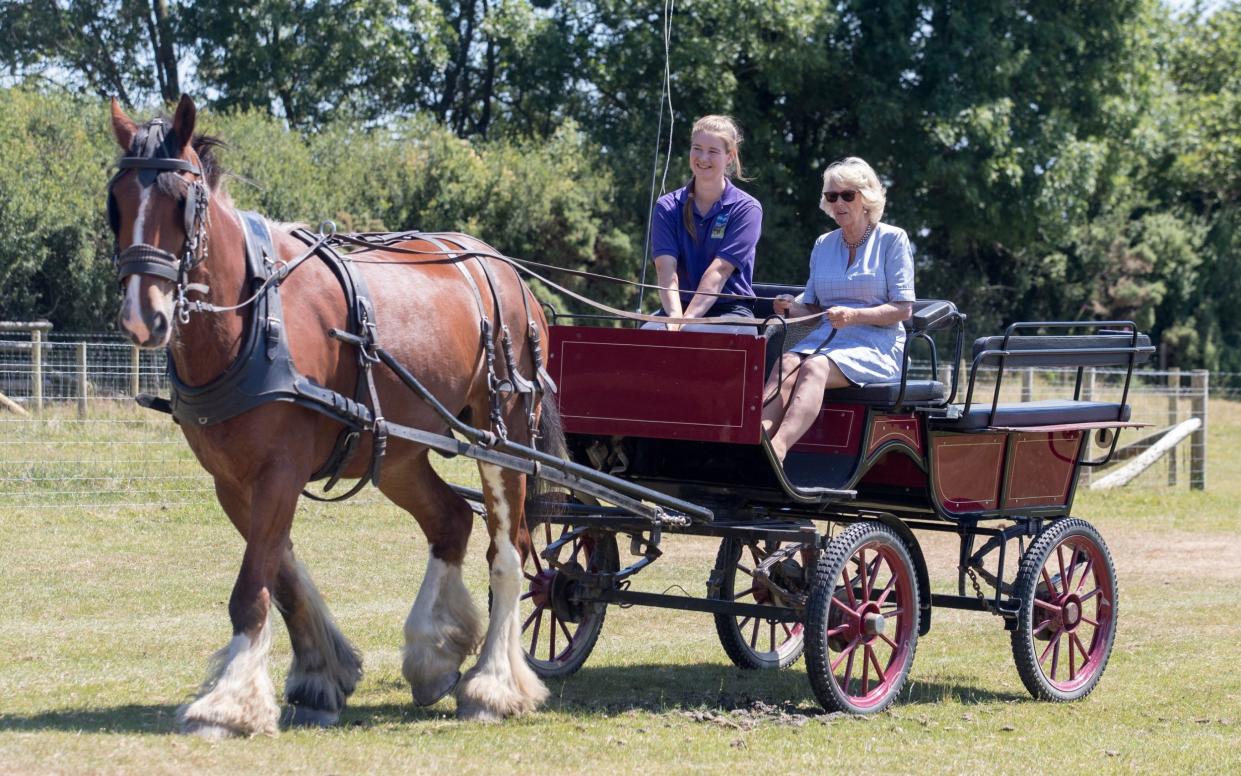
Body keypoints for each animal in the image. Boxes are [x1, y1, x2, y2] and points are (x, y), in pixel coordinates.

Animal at [106, 95, 553, 730]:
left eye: (181, 202)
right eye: (116, 204)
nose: (143, 316)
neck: (254, 320)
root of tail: (508, 273)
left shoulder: (281, 469)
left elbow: (253, 585)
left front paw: (226, 704)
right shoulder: (232, 481)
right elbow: (280, 576)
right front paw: (322, 674)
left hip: (503, 434)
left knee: (508, 552)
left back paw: (493, 685)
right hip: (397, 449)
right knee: (450, 522)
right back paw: (433, 654)